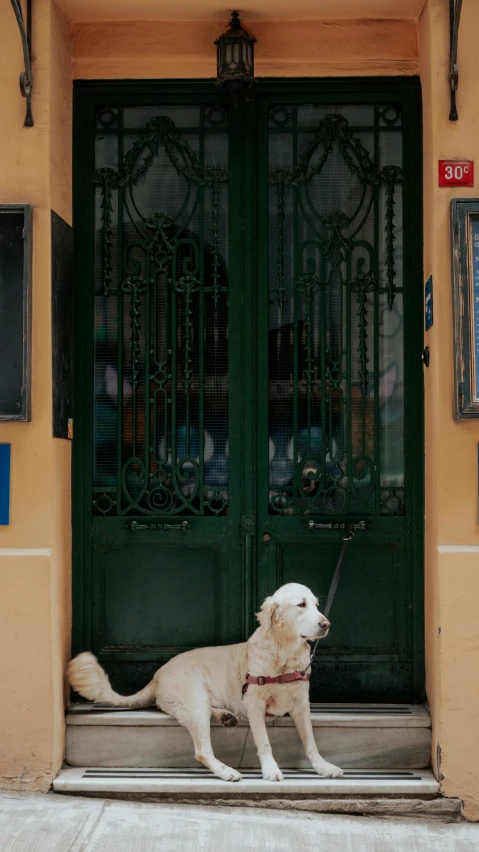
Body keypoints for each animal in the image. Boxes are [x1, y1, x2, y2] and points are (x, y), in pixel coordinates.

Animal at [68, 584, 344, 784]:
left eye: (317, 605)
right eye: (301, 605)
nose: (326, 624)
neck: (284, 656)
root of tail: (157, 675)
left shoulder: (301, 704)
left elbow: (310, 741)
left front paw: (323, 766)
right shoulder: (254, 703)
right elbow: (264, 741)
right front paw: (270, 769)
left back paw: (225, 716)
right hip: (195, 698)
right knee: (202, 750)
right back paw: (226, 770)